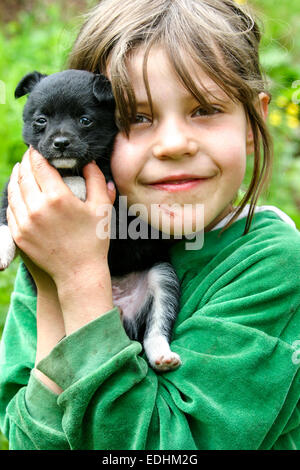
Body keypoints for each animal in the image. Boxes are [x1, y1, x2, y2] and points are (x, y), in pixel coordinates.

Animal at [0, 70, 182, 370]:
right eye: (41, 120)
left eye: (85, 120)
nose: (61, 143)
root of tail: (118, 310)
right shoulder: (11, 188)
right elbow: (3, 220)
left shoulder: (117, 193)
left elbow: (81, 179)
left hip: (163, 278)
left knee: (156, 328)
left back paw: (163, 356)